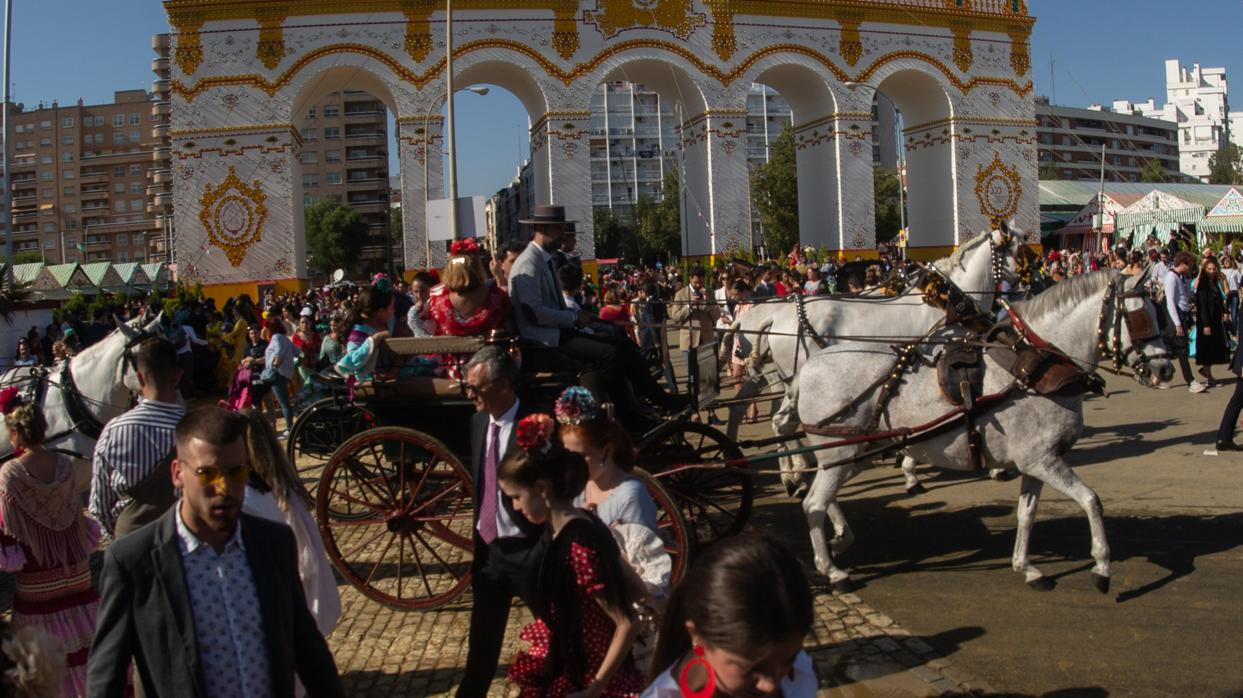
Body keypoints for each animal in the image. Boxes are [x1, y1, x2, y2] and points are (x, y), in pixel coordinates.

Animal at [725, 228, 1024, 494]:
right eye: (1021, 249)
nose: (1026, 284)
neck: (943, 302)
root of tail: (773, 317)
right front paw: (913, 472)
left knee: (749, 410)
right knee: (780, 421)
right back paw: (794, 473)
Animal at [795, 269, 1173, 588]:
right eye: (1140, 317)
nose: (1166, 369)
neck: (1034, 367)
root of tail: (807, 368)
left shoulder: (1036, 462)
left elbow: (1027, 513)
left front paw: (1026, 566)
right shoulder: (1044, 461)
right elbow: (1091, 501)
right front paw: (1102, 567)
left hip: (853, 454)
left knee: (825, 499)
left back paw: (840, 539)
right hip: (840, 452)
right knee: (814, 504)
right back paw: (832, 570)